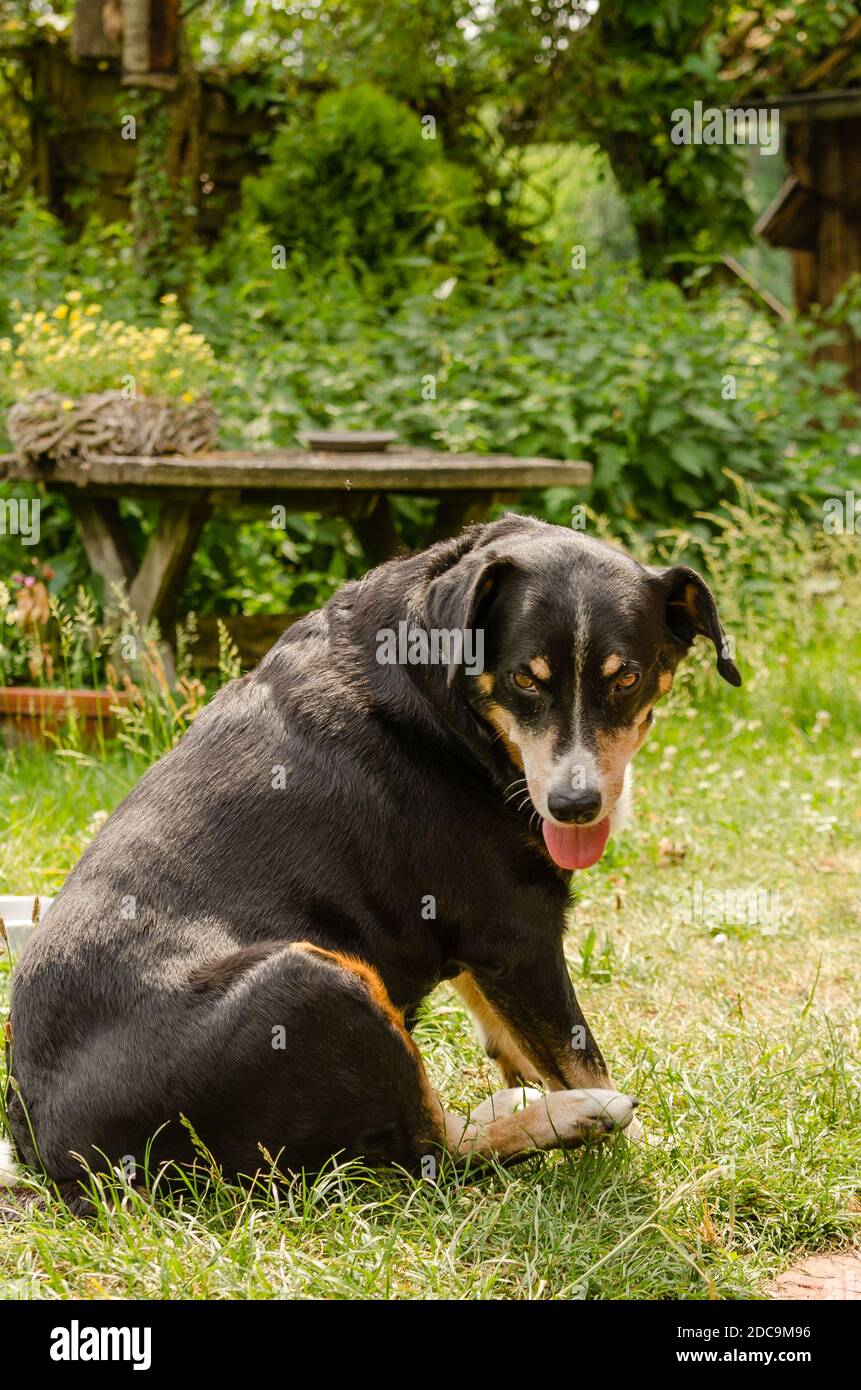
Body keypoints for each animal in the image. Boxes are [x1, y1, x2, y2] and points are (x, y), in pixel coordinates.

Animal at [1, 517, 739, 1189]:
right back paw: (581, 1116)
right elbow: (578, 1054)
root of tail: (43, 1146)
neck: (442, 699)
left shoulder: (475, 943)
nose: (574, 805)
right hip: (310, 979)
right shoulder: (516, 935)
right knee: (433, 1152)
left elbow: (512, 1034)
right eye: (524, 681)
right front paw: (652, 1160)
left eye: (627, 679)